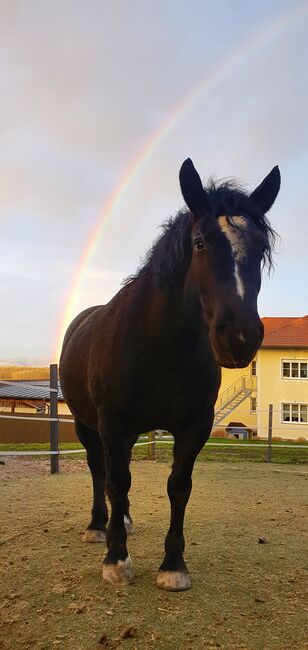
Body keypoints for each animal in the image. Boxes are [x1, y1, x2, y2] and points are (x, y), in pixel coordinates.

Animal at [59, 157, 280, 588]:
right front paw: (117, 559)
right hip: (87, 424)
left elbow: (178, 487)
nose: (240, 336)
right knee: (99, 471)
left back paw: (123, 521)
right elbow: (115, 480)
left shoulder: (194, 426)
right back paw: (99, 526)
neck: (160, 346)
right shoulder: (112, 423)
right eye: (200, 243)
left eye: (261, 248)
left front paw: (173, 564)